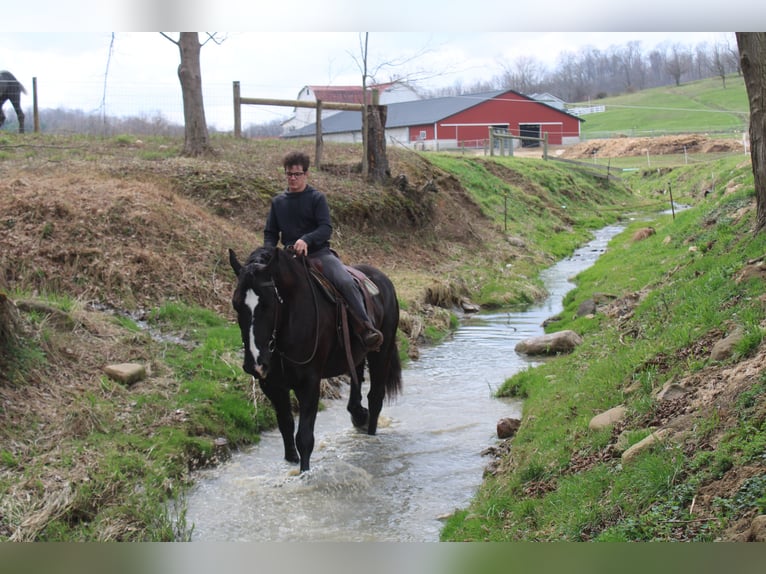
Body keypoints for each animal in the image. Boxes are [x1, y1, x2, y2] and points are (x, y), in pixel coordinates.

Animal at [228, 245, 402, 472]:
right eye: (236, 304)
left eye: (267, 304)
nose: (255, 364)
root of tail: (383, 280)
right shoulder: (272, 385)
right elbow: (286, 426)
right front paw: (291, 462)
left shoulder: (309, 383)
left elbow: (304, 438)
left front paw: (305, 474)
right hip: (356, 354)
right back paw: (359, 416)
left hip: (381, 352)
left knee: (375, 397)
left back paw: (371, 434)